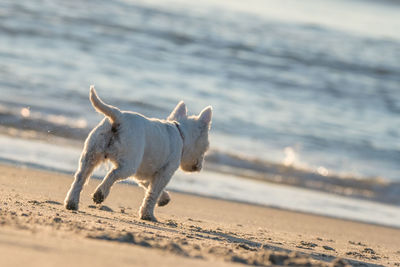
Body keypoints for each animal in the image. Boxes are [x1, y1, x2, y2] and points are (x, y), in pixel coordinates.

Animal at [64, 86, 212, 222]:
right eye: (205, 149)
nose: (199, 167)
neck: (181, 134)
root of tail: (120, 118)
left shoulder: (145, 172)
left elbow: (148, 186)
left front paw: (164, 199)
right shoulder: (165, 172)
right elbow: (153, 193)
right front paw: (148, 215)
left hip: (91, 153)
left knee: (80, 177)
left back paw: (71, 203)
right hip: (129, 164)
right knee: (113, 174)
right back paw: (100, 194)